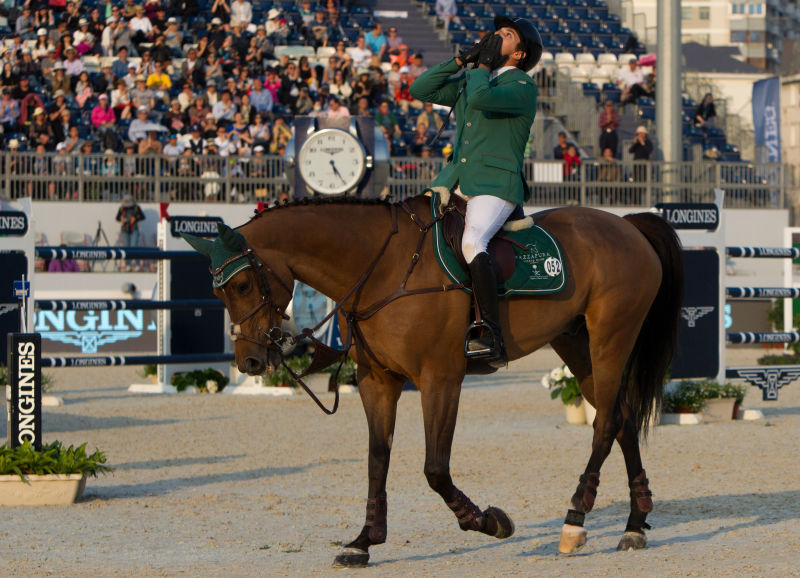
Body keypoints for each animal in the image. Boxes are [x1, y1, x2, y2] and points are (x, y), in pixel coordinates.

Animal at [186, 196, 680, 564]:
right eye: (218, 291)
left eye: (243, 286)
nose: (250, 362)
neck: (383, 268)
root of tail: (627, 225)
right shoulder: (377, 381)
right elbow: (378, 458)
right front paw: (364, 541)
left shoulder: (440, 380)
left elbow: (435, 468)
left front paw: (488, 521)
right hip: (575, 345)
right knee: (622, 419)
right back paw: (634, 526)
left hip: (610, 339)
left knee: (605, 423)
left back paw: (574, 520)